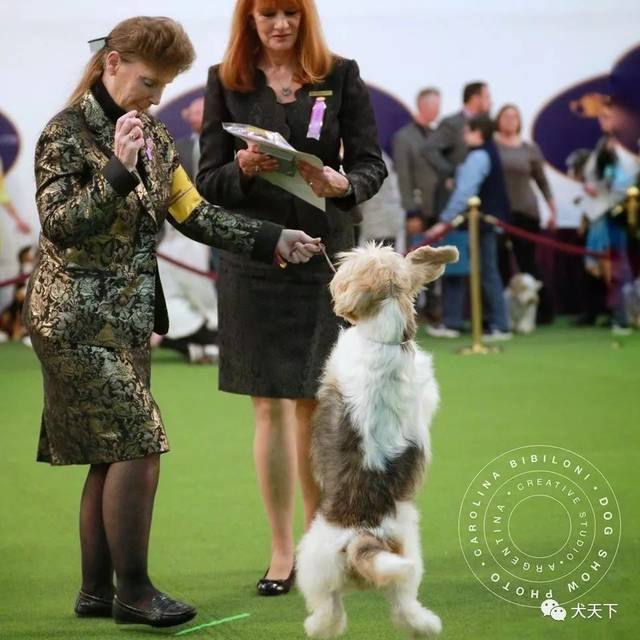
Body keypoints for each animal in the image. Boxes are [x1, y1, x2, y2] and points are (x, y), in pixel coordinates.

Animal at [298, 242, 458, 636]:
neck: (386, 341)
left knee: (329, 610)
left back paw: (314, 627)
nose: (339, 257)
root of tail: (363, 536)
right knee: (405, 605)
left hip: (313, 564)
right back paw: (429, 625)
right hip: (405, 557)